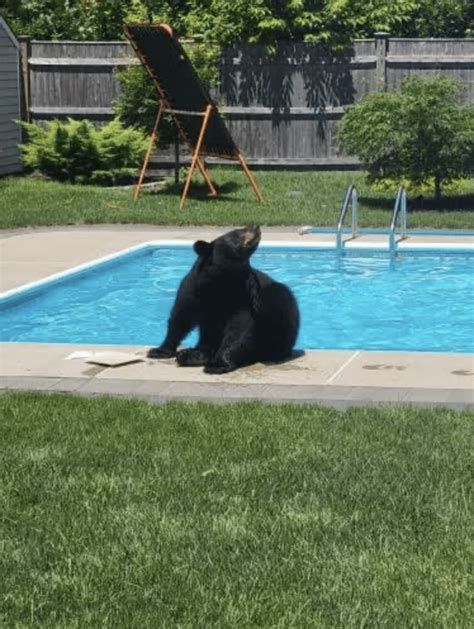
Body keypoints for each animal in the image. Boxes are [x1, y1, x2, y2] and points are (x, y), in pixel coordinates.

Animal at [148, 226, 298, 372]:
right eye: (238, 231)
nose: (256, 227)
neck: (220, 282)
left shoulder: (245, 295)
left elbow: (240, 328)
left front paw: (218, 364)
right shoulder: (192, 289)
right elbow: (180, 317)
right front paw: (160, 350)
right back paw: (190, 354)